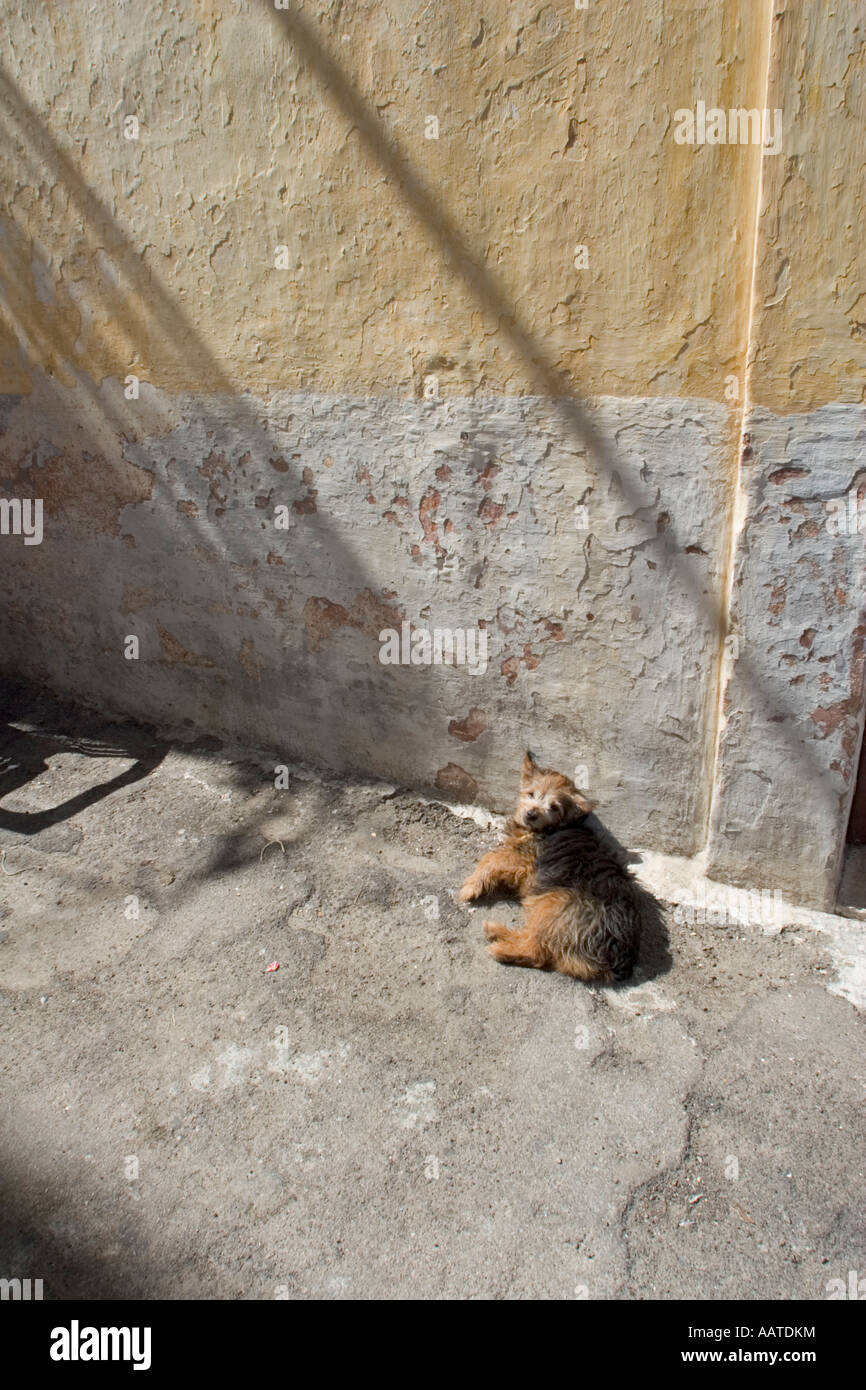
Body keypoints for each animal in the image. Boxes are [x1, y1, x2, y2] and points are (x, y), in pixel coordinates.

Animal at [461, 756, 636, 984]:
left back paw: (500, 944)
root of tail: (614, 956)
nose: (531, 813)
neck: (551, 828)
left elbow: (491, 859)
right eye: (531, 794)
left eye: (554, 807)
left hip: (554, 905)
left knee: (537, 950)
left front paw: (471, 885)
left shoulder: (523, 859)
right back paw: (499, 932)